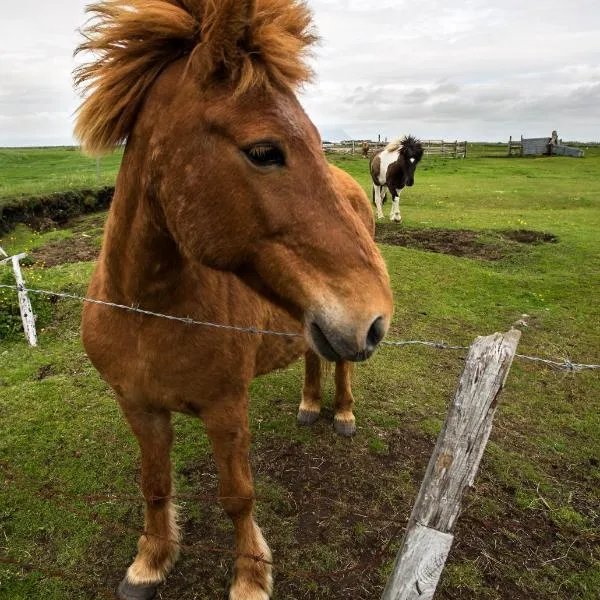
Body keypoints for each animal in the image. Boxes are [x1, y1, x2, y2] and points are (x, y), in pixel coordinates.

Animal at [75, 2, 394, 596]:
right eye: (265, 151)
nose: (374, 317)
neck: (146, 310)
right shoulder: (139, 408)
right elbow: (154, 485)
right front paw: (151, 560)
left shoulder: (226, 410)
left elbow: (237, 497)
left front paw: (250, 574)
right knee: (315, 354)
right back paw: (309, 405)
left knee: (341, 366)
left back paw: (340, 412)